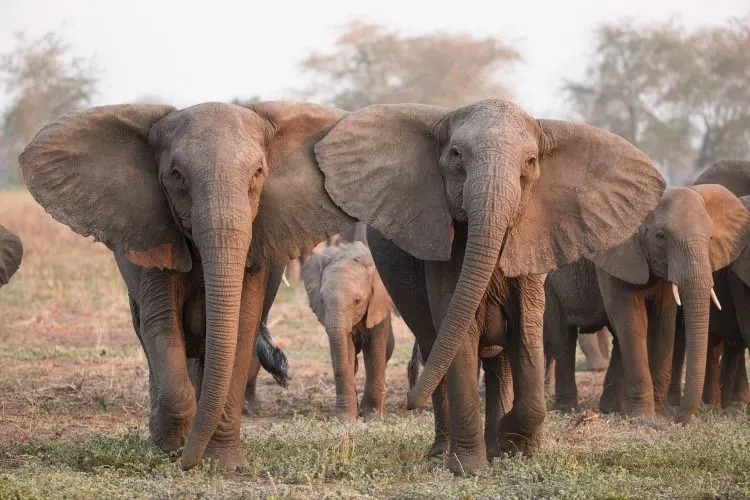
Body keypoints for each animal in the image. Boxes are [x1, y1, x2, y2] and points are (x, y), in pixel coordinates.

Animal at [20, 101, 356, 470]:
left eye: (258, 172)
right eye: (176, 175)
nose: (186, 463)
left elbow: (240, 331)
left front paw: (222, 463)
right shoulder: (155, 236)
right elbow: (161, 327)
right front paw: (170, 449)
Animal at [302, 241, 395, 420]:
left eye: (357, 301)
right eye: (322, 300)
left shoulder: (378, 305)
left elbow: (375, 352)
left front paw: (372, 416)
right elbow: (346, 351)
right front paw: (345, 419)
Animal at [314, 99, 665, 473]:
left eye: (531, 161)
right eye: (455, 154)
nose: (409, 402)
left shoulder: (533, 242)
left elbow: (527, 331)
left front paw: (515, 445)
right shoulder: (444, 253)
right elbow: (459, 333)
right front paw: (468, 468)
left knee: (499, 363)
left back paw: (497, 446)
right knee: (435, 347)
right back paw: (443, 451)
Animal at [544, 185, 749, 422]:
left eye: (710, 237)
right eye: (661, 237)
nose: (679, 418)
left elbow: (664, 323)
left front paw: (661, 414)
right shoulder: (614, 256)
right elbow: (632, 320)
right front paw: (644, 419)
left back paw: (611, 408)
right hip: (549, 283)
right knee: (563, 339)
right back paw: (568, 409)